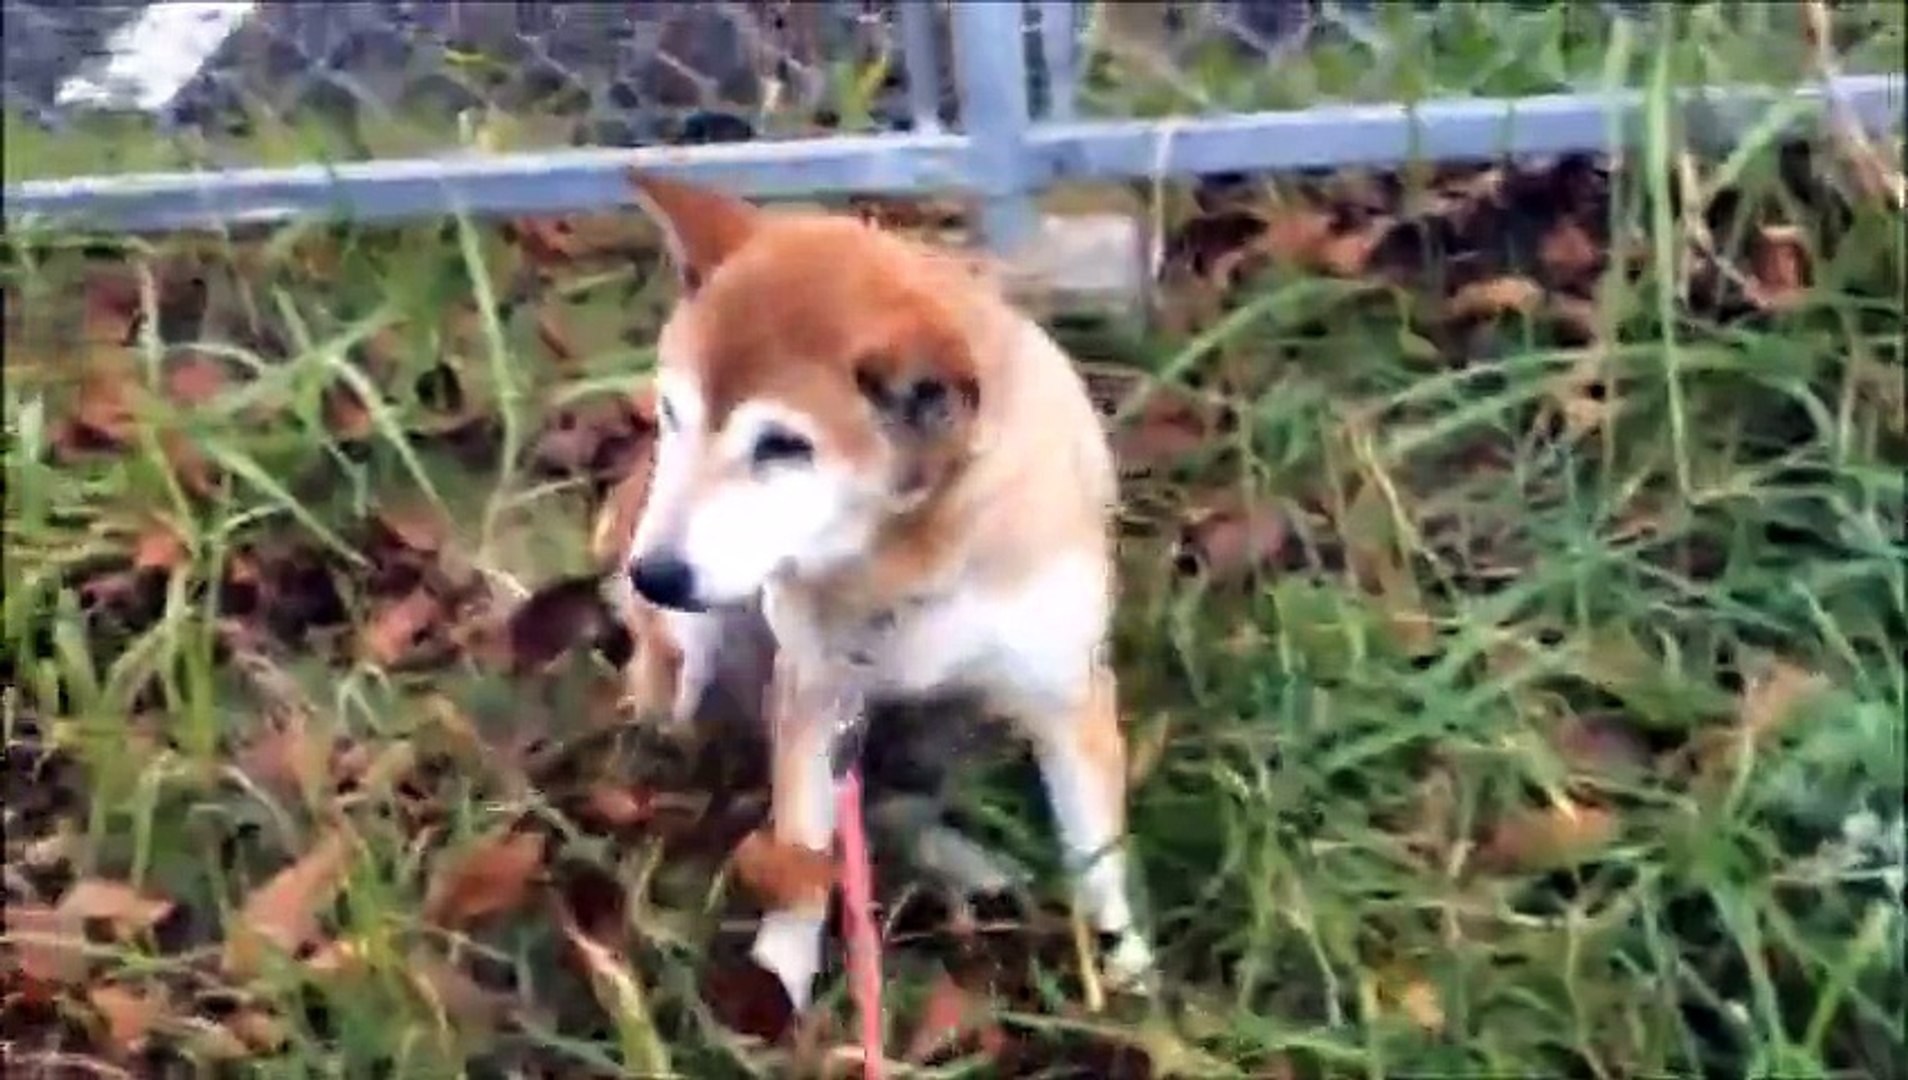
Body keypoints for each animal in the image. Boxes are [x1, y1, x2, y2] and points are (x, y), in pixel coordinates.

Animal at [602, 173, 1152, 1015]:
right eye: (672, 413)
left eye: (783, 447)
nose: (653, 574)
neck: (906, 556)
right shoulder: (814, 693)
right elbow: (802, 853)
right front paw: (779, 980)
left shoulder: (1063, 695)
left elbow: (1097, 855)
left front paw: (1125, 970)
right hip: (696, 663)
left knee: (906, 802)